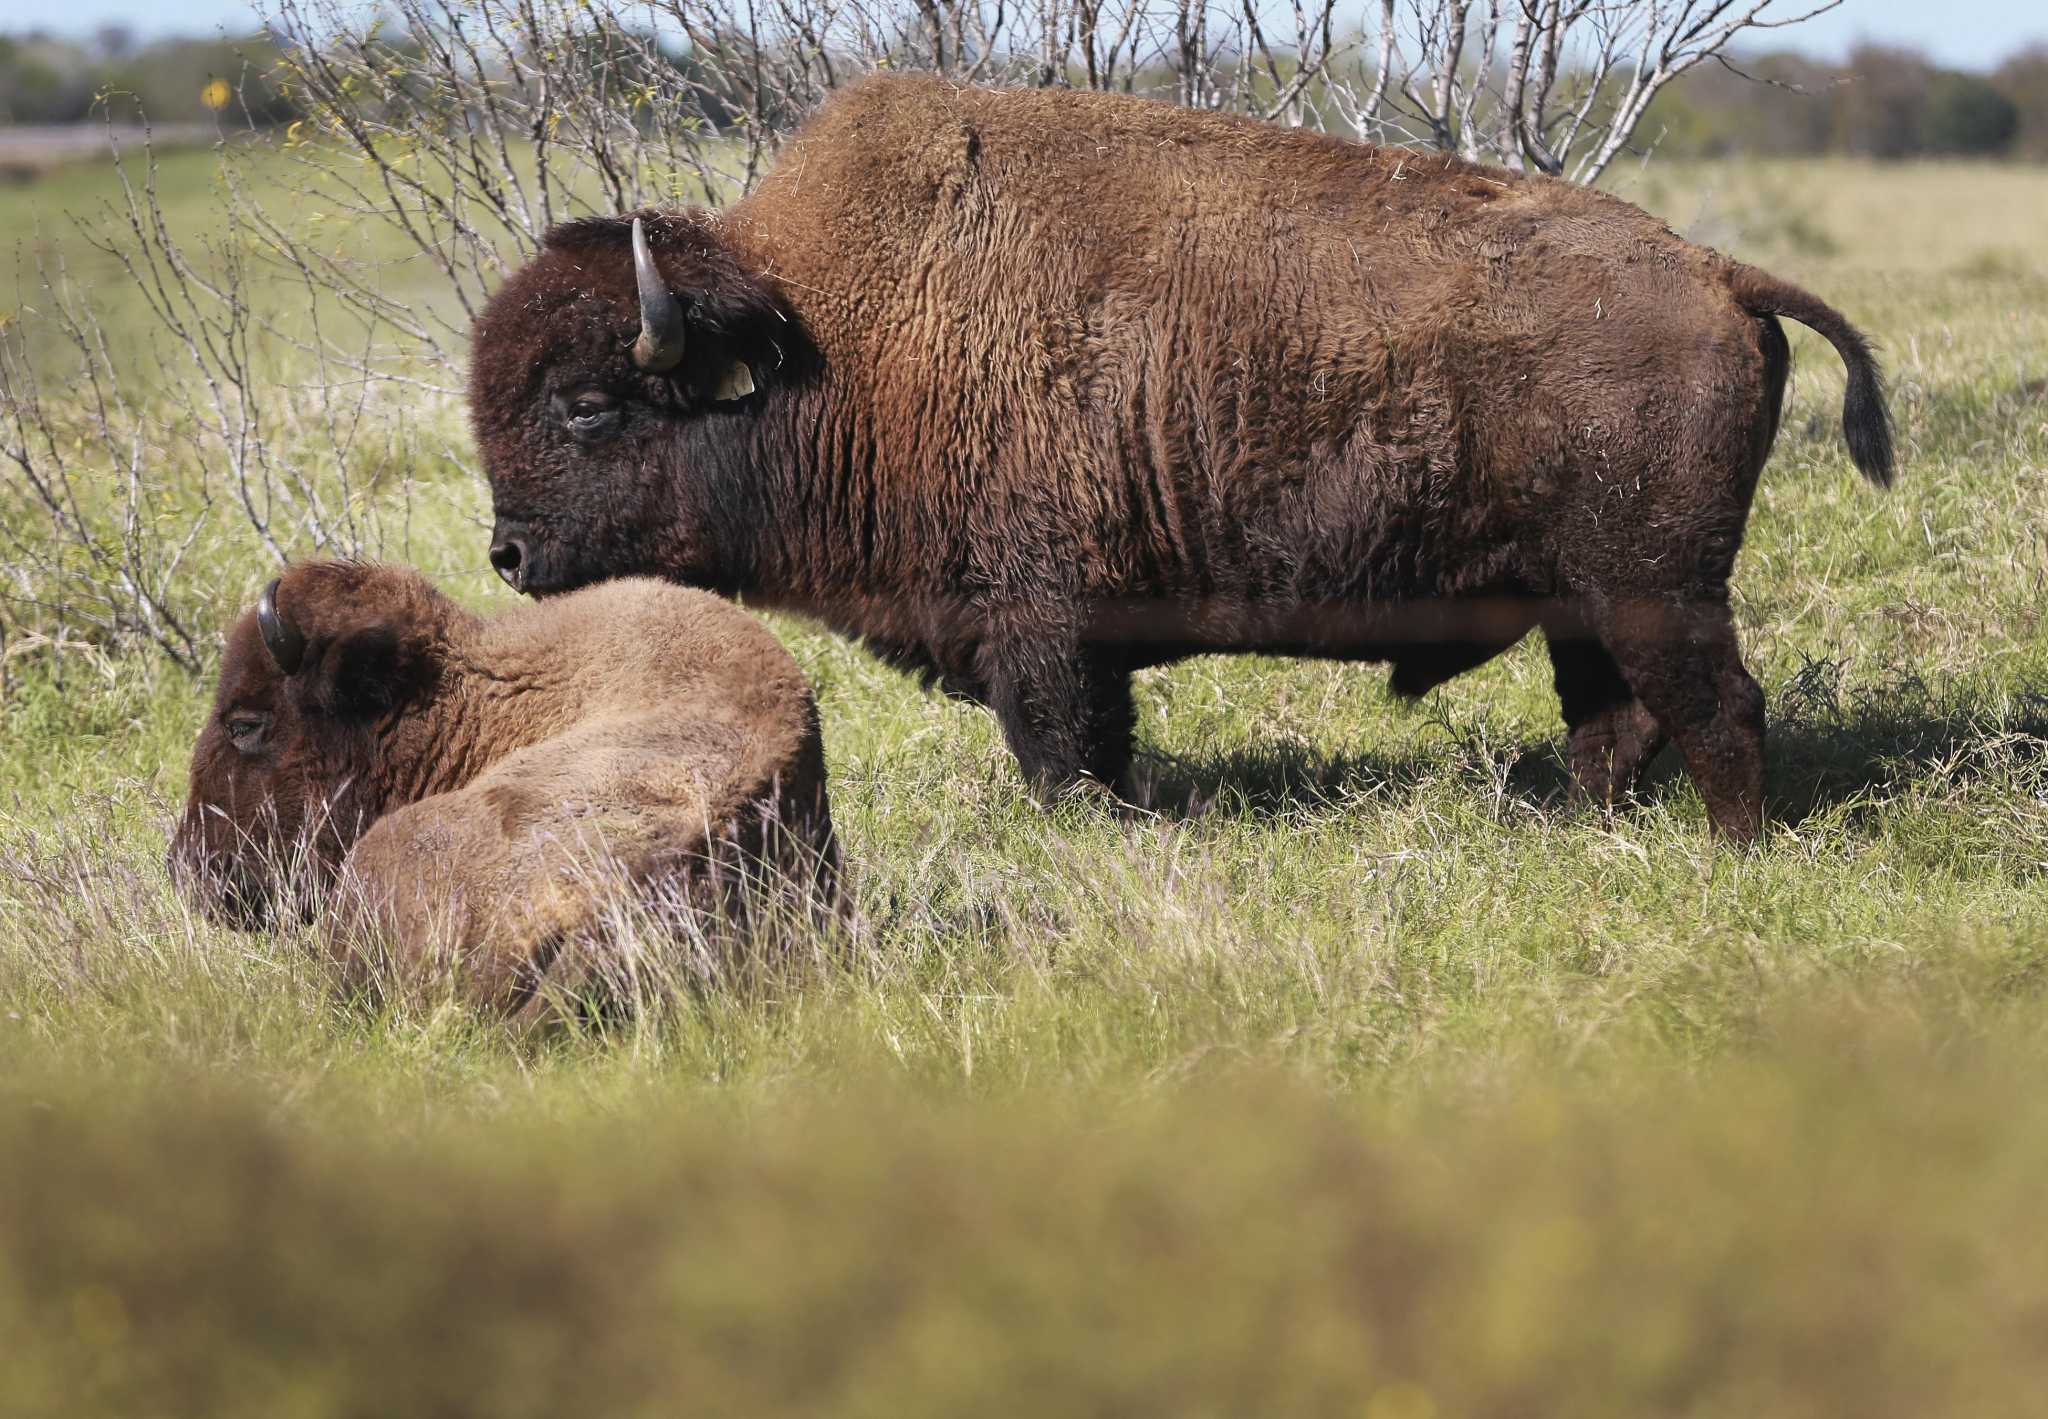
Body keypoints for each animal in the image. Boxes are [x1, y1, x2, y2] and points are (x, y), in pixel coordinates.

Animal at [469, 76, 1893, 840]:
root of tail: (1714, 268)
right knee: (1613, 720)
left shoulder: (1035, 624)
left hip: (1655, 588)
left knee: (1716, 707)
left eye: (586, 407)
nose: (510, 554)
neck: (830, 337)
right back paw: (1570, 826)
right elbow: (1094, 744)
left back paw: (1729, 854)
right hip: (1584, 599)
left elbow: (1059, 749)